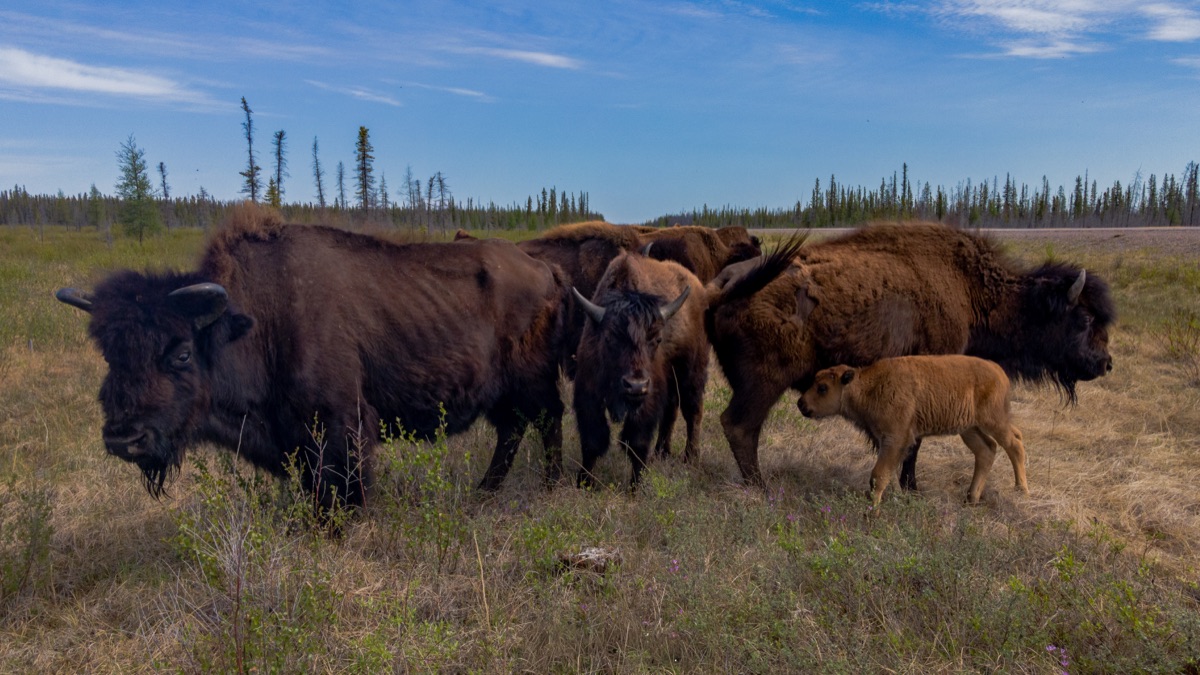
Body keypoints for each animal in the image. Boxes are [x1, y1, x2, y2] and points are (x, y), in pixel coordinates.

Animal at [54, 207, 568, 510]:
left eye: (181, 353)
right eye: (109, 356)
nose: (124, 438)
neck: (256, 320)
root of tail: (544, 268)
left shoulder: (341, 424)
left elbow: (342, 487)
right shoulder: (296, 438)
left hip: (532, 381)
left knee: (547, 421)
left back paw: (549, 486)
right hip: (502, 393)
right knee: (513, 429)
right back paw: (486, 492)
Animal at [571, 252, 708, 489]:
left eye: (657, 339)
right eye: (609, 338)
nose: (636, 386)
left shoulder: (647, 399)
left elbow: (636, 442)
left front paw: (636, 487)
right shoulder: (588, 392)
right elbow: (592, 440)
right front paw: (584, 482)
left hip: (691, 374)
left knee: (693, 413)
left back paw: (690, 458)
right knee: (671, 412)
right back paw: (662, 452)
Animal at [706, 222, 1114, 489]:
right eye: (1083, 319)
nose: (1105, 362)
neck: (970, 291)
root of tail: (724, 287)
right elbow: (914, 443)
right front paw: (911, 487)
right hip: (764, 383)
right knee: (740, 426)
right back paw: (760, 487)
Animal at [798, 355, 1029, 507]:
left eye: (823, 388)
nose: (801, 404)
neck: (869, 386)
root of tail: (999, 371)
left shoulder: (895, 439)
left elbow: (878, 475)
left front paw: (872, 510)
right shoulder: (885, 441)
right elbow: (886, 474)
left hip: (993, 421)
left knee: (1014, 443)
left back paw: (1021, 490)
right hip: (969, 428)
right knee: (986, 450)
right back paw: (971, 498)